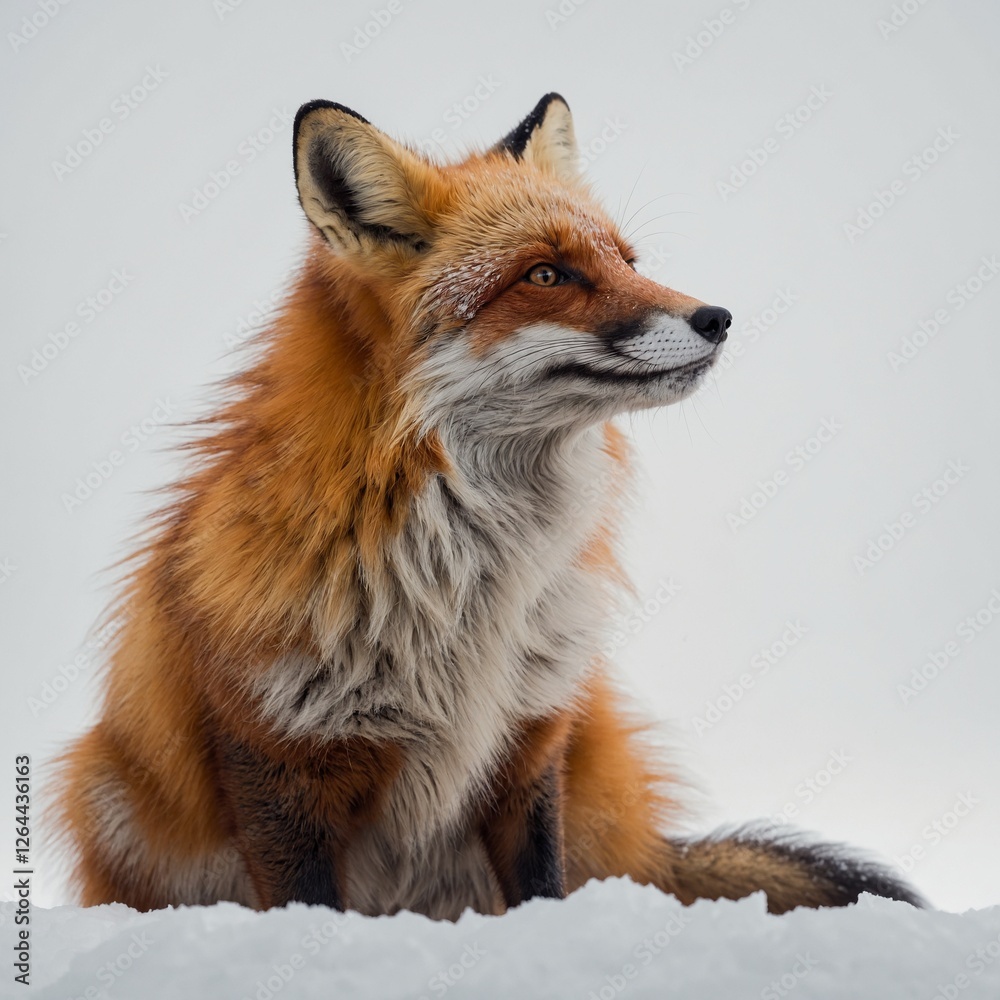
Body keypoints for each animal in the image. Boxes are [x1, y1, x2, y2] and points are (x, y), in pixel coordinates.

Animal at [53, 93, 922, 918]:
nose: (718, 317)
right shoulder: (275, 759)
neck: (467, 587)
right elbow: (308, 902)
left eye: (628, 260)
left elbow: (541, 888)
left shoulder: (528, 738)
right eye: (546, 275)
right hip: (105, 791)